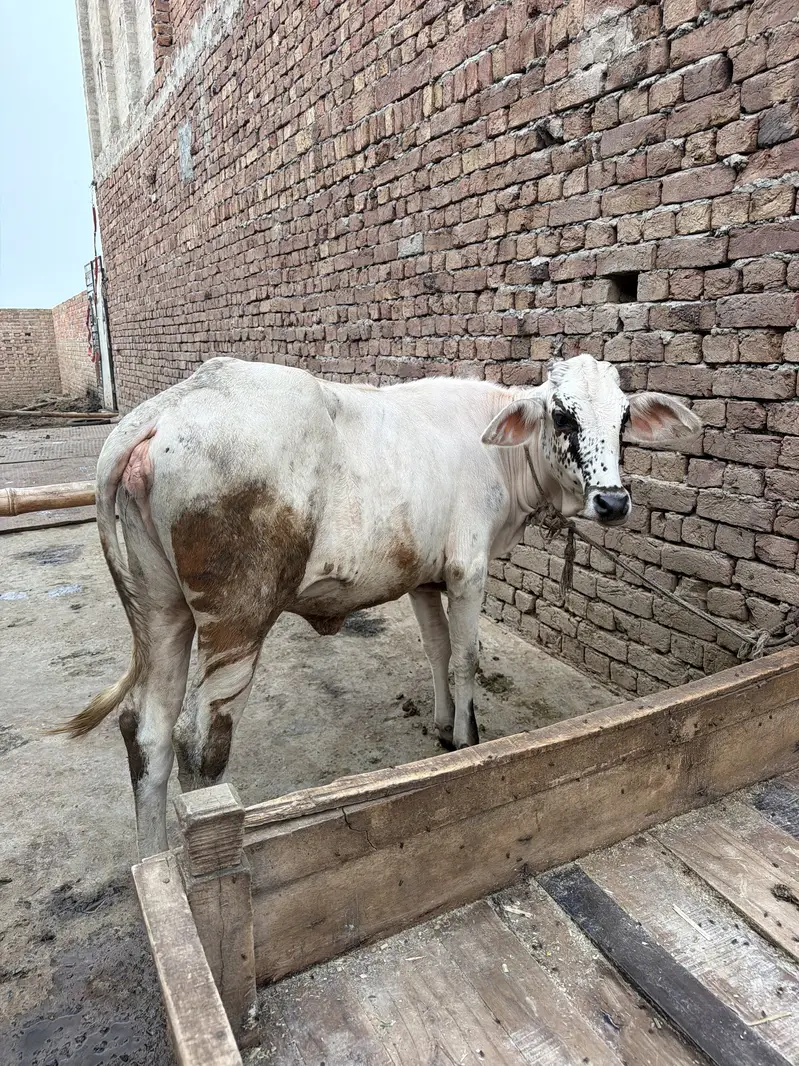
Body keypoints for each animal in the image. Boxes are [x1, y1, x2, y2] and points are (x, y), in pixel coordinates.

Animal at [53, 353, 700, 857]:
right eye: (563, 414)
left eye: (622, 418)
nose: (613, 501)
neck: (496, 450)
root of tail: (171, 404)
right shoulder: (468, 570)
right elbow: (466, 656)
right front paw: (468, 737)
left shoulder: (422, 577)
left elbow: (436, 650)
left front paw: (443, 727)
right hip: (235, 620)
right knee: (199, 745)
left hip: (164, 612)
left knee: (147, 733)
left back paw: (156, 865)